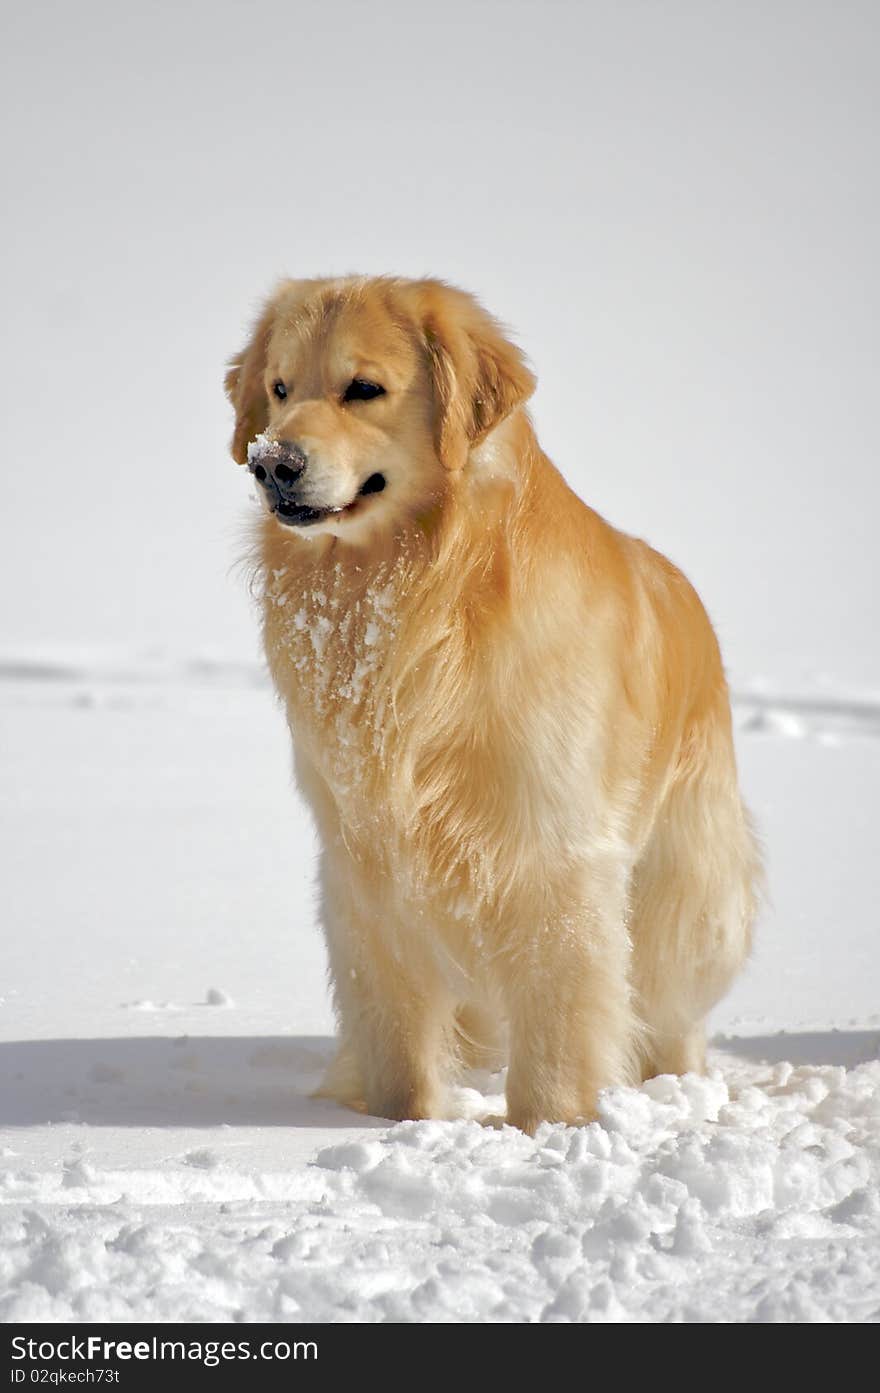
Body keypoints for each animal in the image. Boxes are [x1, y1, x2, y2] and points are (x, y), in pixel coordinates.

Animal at [222, 274, 757, 1131]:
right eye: (278, 389)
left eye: (363, 388)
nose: (272, 462)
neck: (421, 596)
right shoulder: (365, 863)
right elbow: (396, 1037)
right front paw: (402, 1124)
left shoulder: (552, 855)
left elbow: (559, 1022)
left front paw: (548, 1126)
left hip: (686, 881)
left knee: (672, 1000)